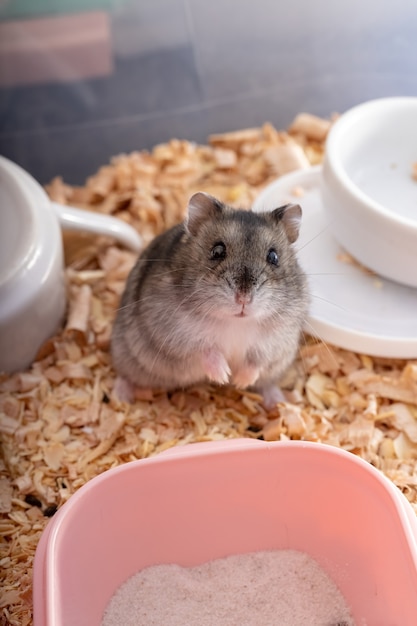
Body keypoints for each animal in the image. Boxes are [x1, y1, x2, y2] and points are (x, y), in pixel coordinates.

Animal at [110, 190, 308, 408]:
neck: (235, 322)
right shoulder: (177, 334)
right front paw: (223, 376)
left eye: (273, 257)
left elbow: (257, 361)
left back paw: (278, 403)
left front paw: (239, 381)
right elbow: (205, 350)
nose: (243, 299)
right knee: (126, 375)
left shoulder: (276, 341)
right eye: (217, 251)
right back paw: (120, 398)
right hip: (126, 354)